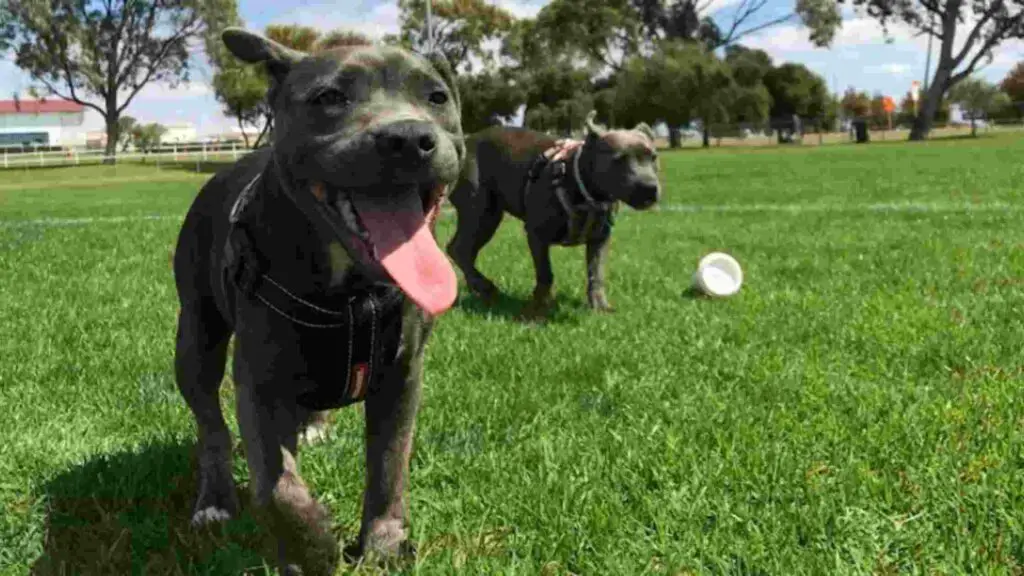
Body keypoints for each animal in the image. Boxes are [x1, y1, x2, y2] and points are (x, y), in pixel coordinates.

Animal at [171, 28, 464, 573]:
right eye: (330, 97)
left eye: (436, 97)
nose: (409, 138)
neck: (350, 290)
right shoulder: (257, 382)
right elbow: (278, 489)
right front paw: (314, 546)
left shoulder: (403, 375)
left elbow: (389, 466)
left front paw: (383, 543)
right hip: (195, 341)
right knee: (212, 428)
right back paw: (215, 500)